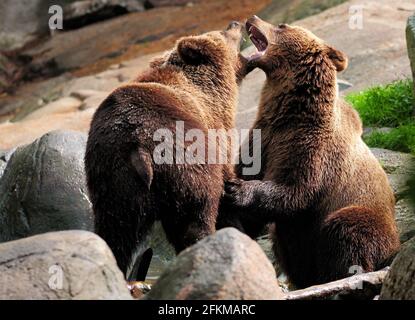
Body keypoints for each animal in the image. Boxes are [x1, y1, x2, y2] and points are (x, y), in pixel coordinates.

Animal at [85, 21, 247, 278]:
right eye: (221, 33)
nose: (236, 23)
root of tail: (139, 147)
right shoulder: (216, 133)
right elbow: (226, 182)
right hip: (186, 163)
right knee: (195, 217)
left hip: (112, 180)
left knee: (116, 232)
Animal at [223, 16, 402, 288]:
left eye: (282, 25)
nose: (252, 18)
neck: (292, 112)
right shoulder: (264, 137)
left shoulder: (313, 148)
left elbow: (298, 190)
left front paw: (238, 188)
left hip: (368, 218)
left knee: (346, 230)